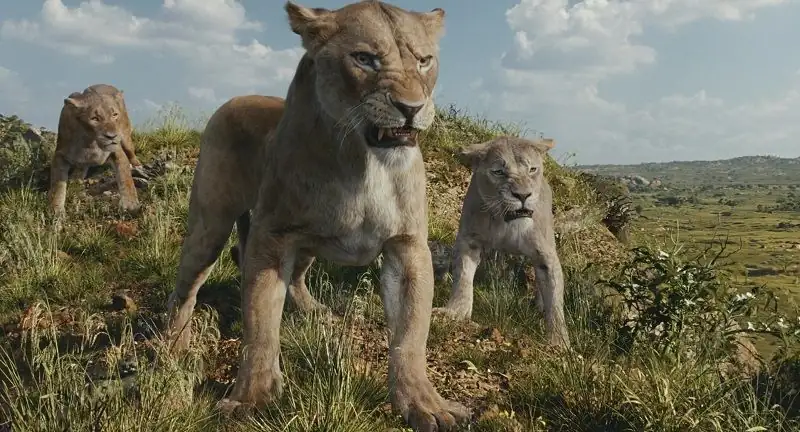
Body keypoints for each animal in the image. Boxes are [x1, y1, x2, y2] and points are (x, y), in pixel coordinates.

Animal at [48, 84, 142, 216]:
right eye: (95, 118)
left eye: (114, 115)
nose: (112, 136)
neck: (91, 142)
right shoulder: (60, 155)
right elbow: (58, 185)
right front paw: (56, 210)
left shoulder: (117, 151)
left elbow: (126, 178)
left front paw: (131, 205)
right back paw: (76, 178)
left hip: (126, 137)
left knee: (131, 153)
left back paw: (137, 165)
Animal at [163, 1, 469, 430]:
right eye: (364, 59)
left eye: (424, 61)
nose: (411, 108)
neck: (365, 163)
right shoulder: (272, 237)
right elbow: (260, 324)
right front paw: (250, 398)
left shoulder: (407, 246)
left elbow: (410, 336)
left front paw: (425, 404)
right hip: (210, 226)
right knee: (185, 289)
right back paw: (175, 345)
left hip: (303, 245)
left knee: (296, 278)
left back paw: (315, 313)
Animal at [433, 136, 571, 348]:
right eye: (498, 171)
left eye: (532, 169)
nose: (523, 195)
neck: (506, 221)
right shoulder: (469, 240)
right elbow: (462, 278)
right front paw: (455, 312)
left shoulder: (545, 255)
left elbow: (555, 299)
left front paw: (559, 342)